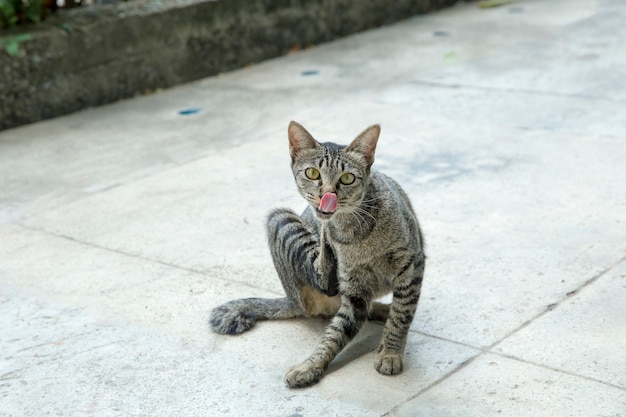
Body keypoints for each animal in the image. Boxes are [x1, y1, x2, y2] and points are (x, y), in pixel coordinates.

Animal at [210, 121, 424, 386]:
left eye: (347, 178)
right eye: (312, 173)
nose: (327, 195)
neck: (355, 232)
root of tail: (291, 299)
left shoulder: (411, 266)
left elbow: (401, 315)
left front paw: (391, 352)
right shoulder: (354, 290)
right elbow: (335, 333)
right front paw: (311, 365)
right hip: (280, 219)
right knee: (326, 282)